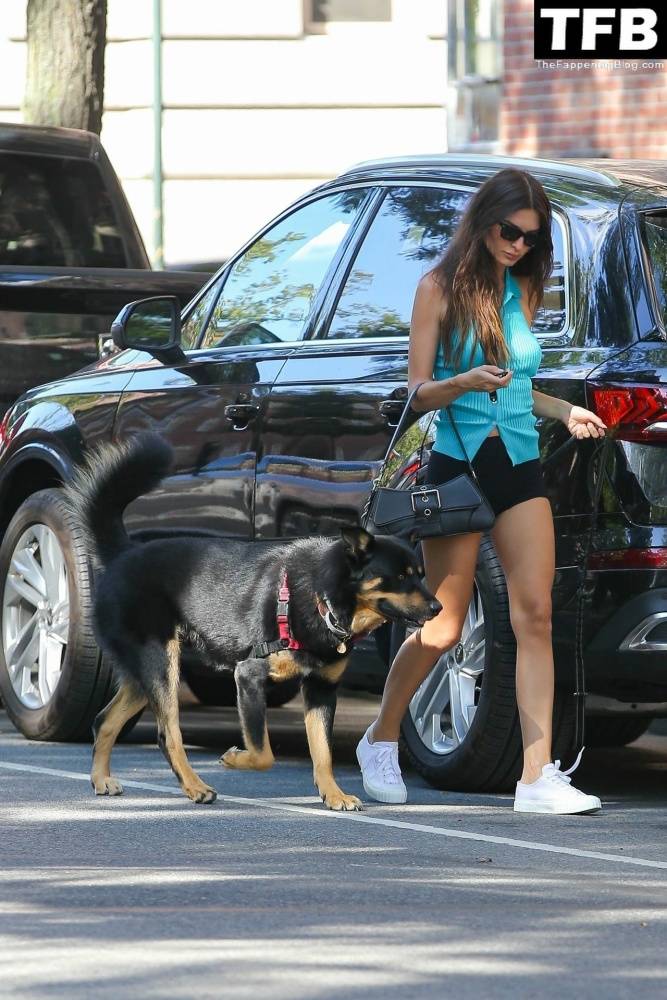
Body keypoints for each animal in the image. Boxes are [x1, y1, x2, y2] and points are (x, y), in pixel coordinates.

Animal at [68, 434, 440, 808]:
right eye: (401, 577)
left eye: (420, 573)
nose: (438, 607)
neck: (322, 596)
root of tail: (123, 554)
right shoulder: (248, 676)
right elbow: (264, 754)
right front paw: (235, 758)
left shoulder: (321, 691)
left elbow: (323, 753)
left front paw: (333, 794)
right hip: (161, 667)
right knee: (166, 733)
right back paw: (195, 785)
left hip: (145, 674)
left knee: (104, 721)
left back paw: (102, 779)